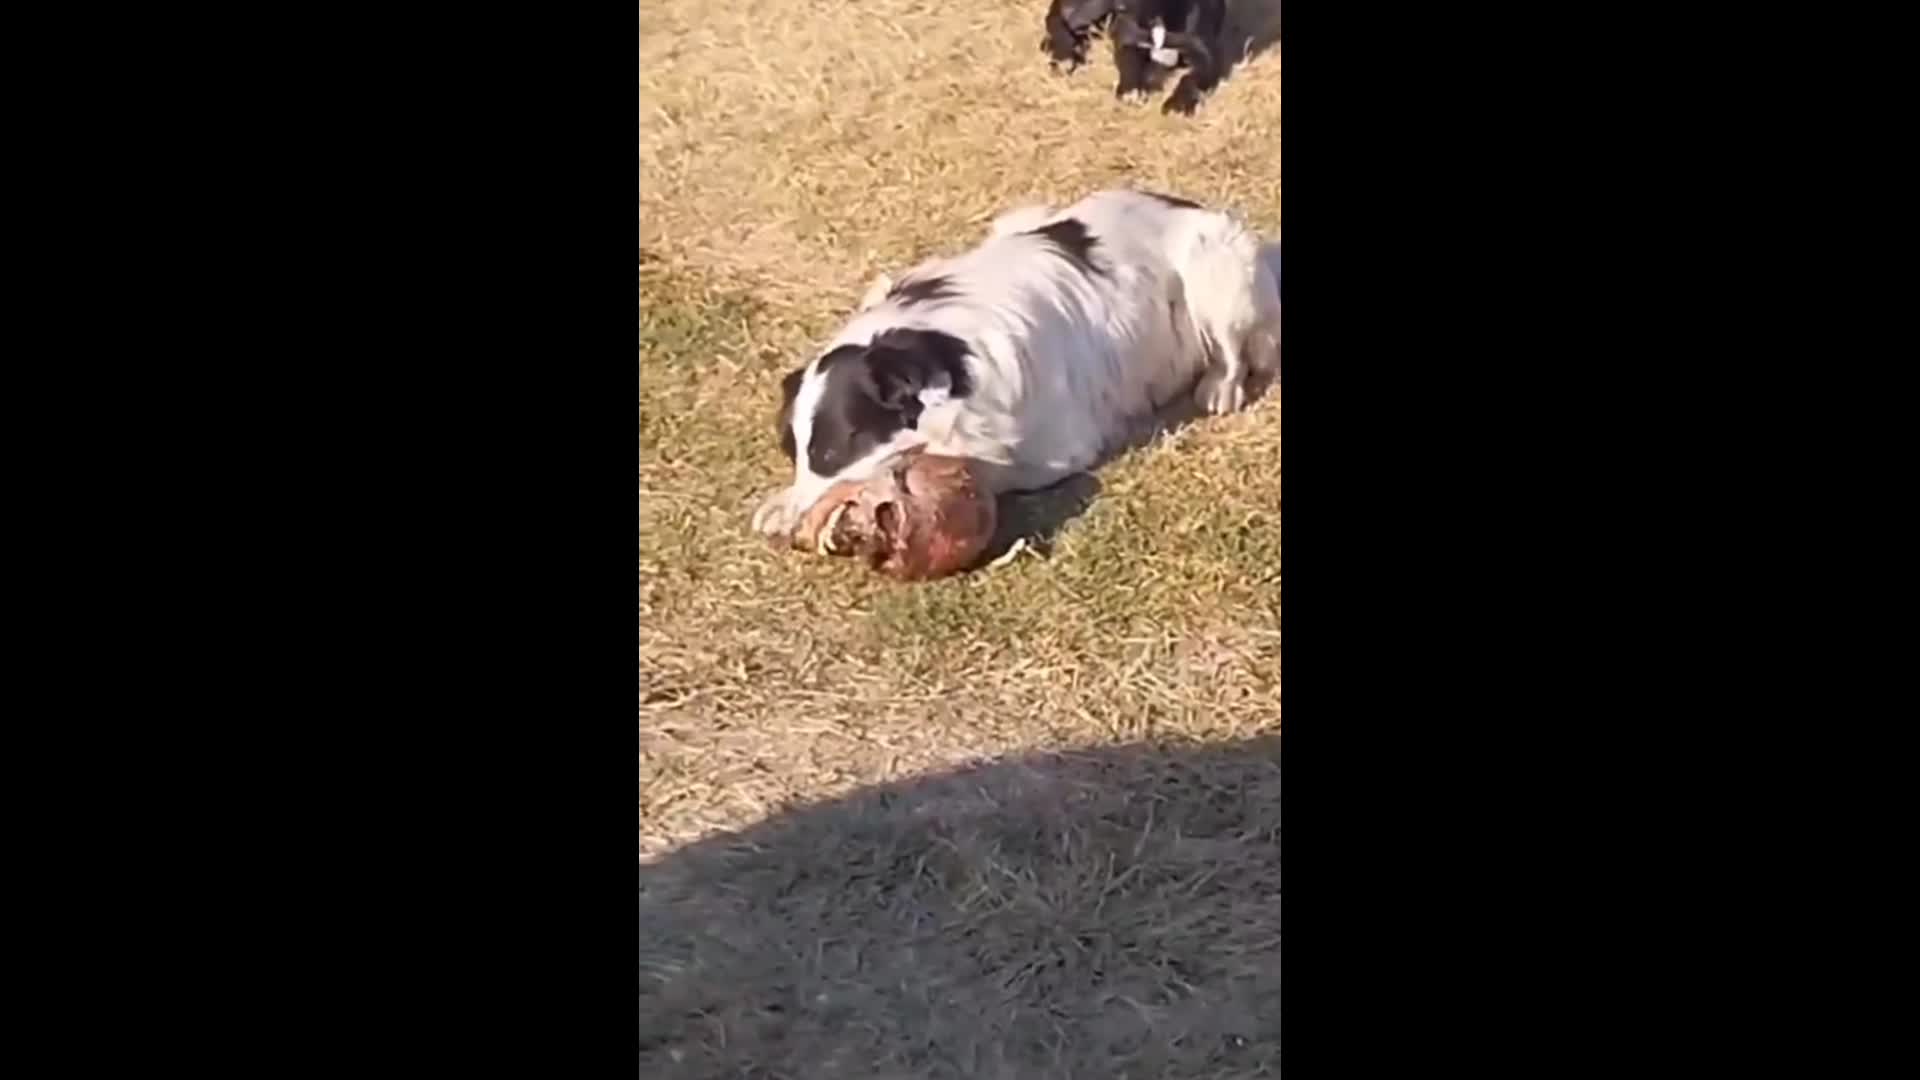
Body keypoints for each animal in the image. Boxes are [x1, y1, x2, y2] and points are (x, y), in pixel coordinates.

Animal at [748, 188, 1274, 541]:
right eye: (794, 454)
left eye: (835, 451)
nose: (795, 528)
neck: (944, 351)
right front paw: (783, 504)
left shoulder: (1057, 449)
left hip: (1214, 266)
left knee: (1231, 352)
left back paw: (1220, 385)